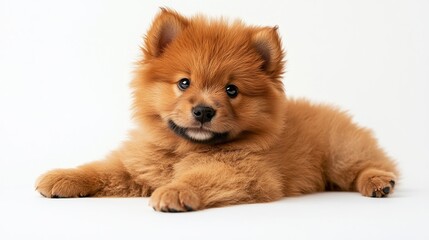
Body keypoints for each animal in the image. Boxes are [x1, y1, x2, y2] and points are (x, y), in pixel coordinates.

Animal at [35, 8, 396, 212]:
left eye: (231, 90)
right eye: (184, 83)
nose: (204, 111)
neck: (184, 149)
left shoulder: (245, 173)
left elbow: (202, 176)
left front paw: (176, 191)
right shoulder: (139, 166)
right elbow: (101, 170)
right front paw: (64, 176)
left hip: (341, 152)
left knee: (370, 165)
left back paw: (379, 182)